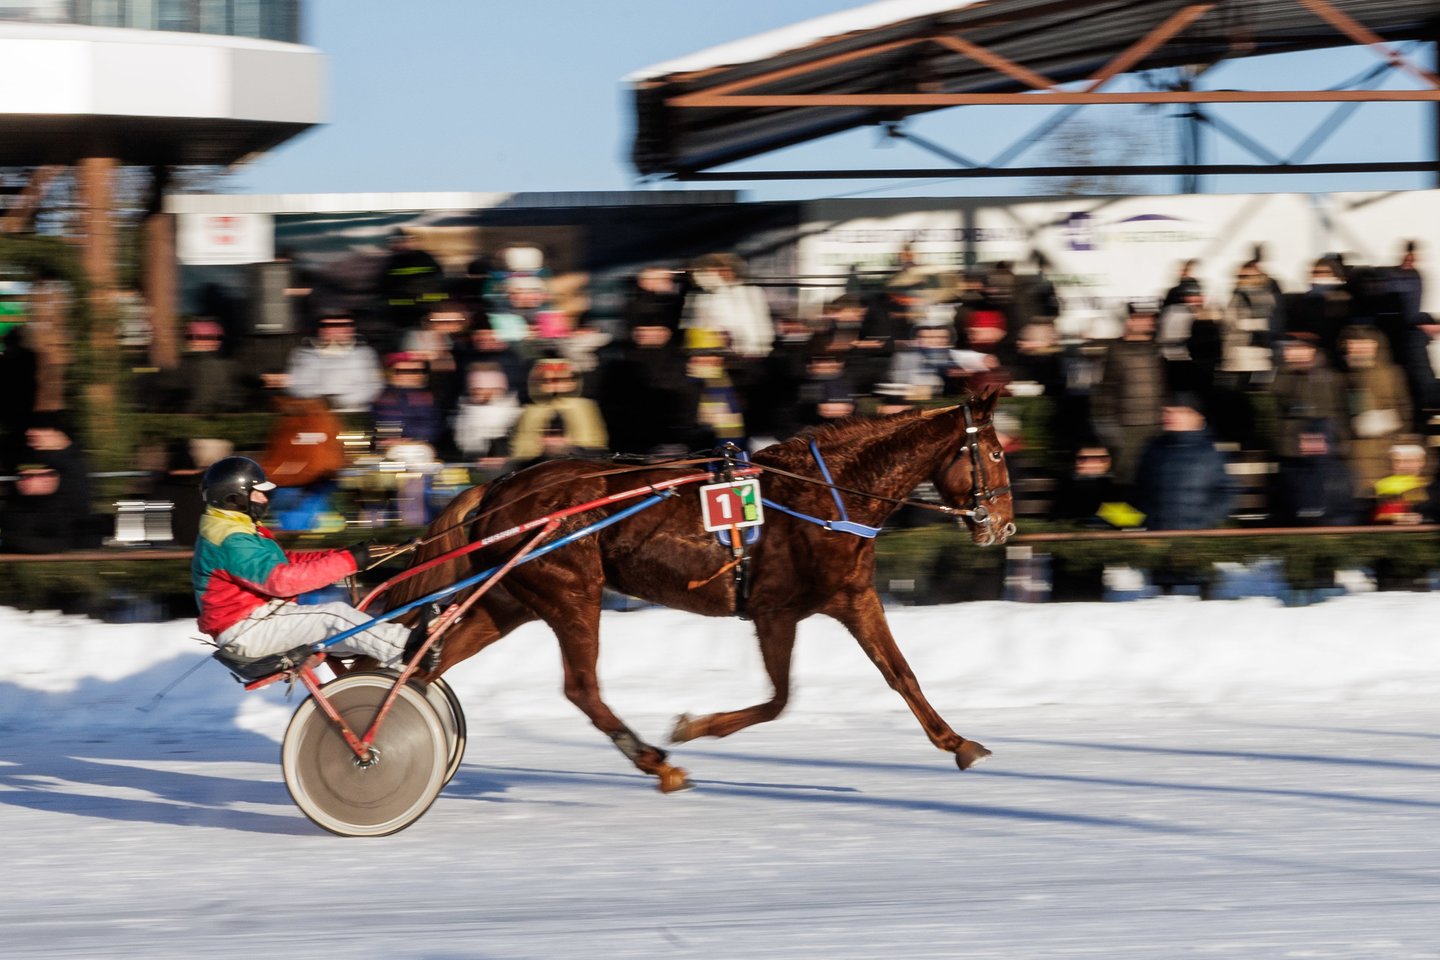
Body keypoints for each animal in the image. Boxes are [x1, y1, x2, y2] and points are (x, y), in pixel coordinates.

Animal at [383, 391, 1016, 791]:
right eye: (995, 451)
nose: (1004, 526)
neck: (827, 492)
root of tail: (498, 489)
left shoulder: (853, 597)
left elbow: (900, 674)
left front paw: (958, 742)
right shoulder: (773, 612)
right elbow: (780, 700)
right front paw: (692, 727)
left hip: (507, 600)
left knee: (426, 664)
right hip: (571, 594)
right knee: (580, 688)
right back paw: (656, 763)